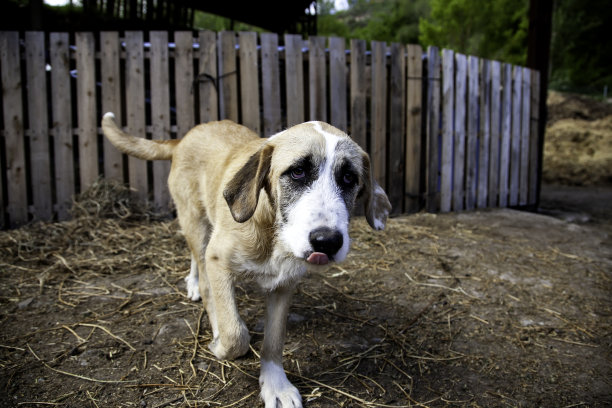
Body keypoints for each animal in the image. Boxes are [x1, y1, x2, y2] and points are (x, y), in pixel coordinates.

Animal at [98, 113, 390, 406]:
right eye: (297, 172)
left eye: (349, 178)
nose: (327, 241)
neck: (273, 232)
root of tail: (185, 137)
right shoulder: (217, 260)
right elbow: (235, 333)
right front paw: (220, 343)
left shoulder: (285, 284)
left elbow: (274, 340)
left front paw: (276, 385)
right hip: (194, 220)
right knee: (201, 266)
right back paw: (197, 287)